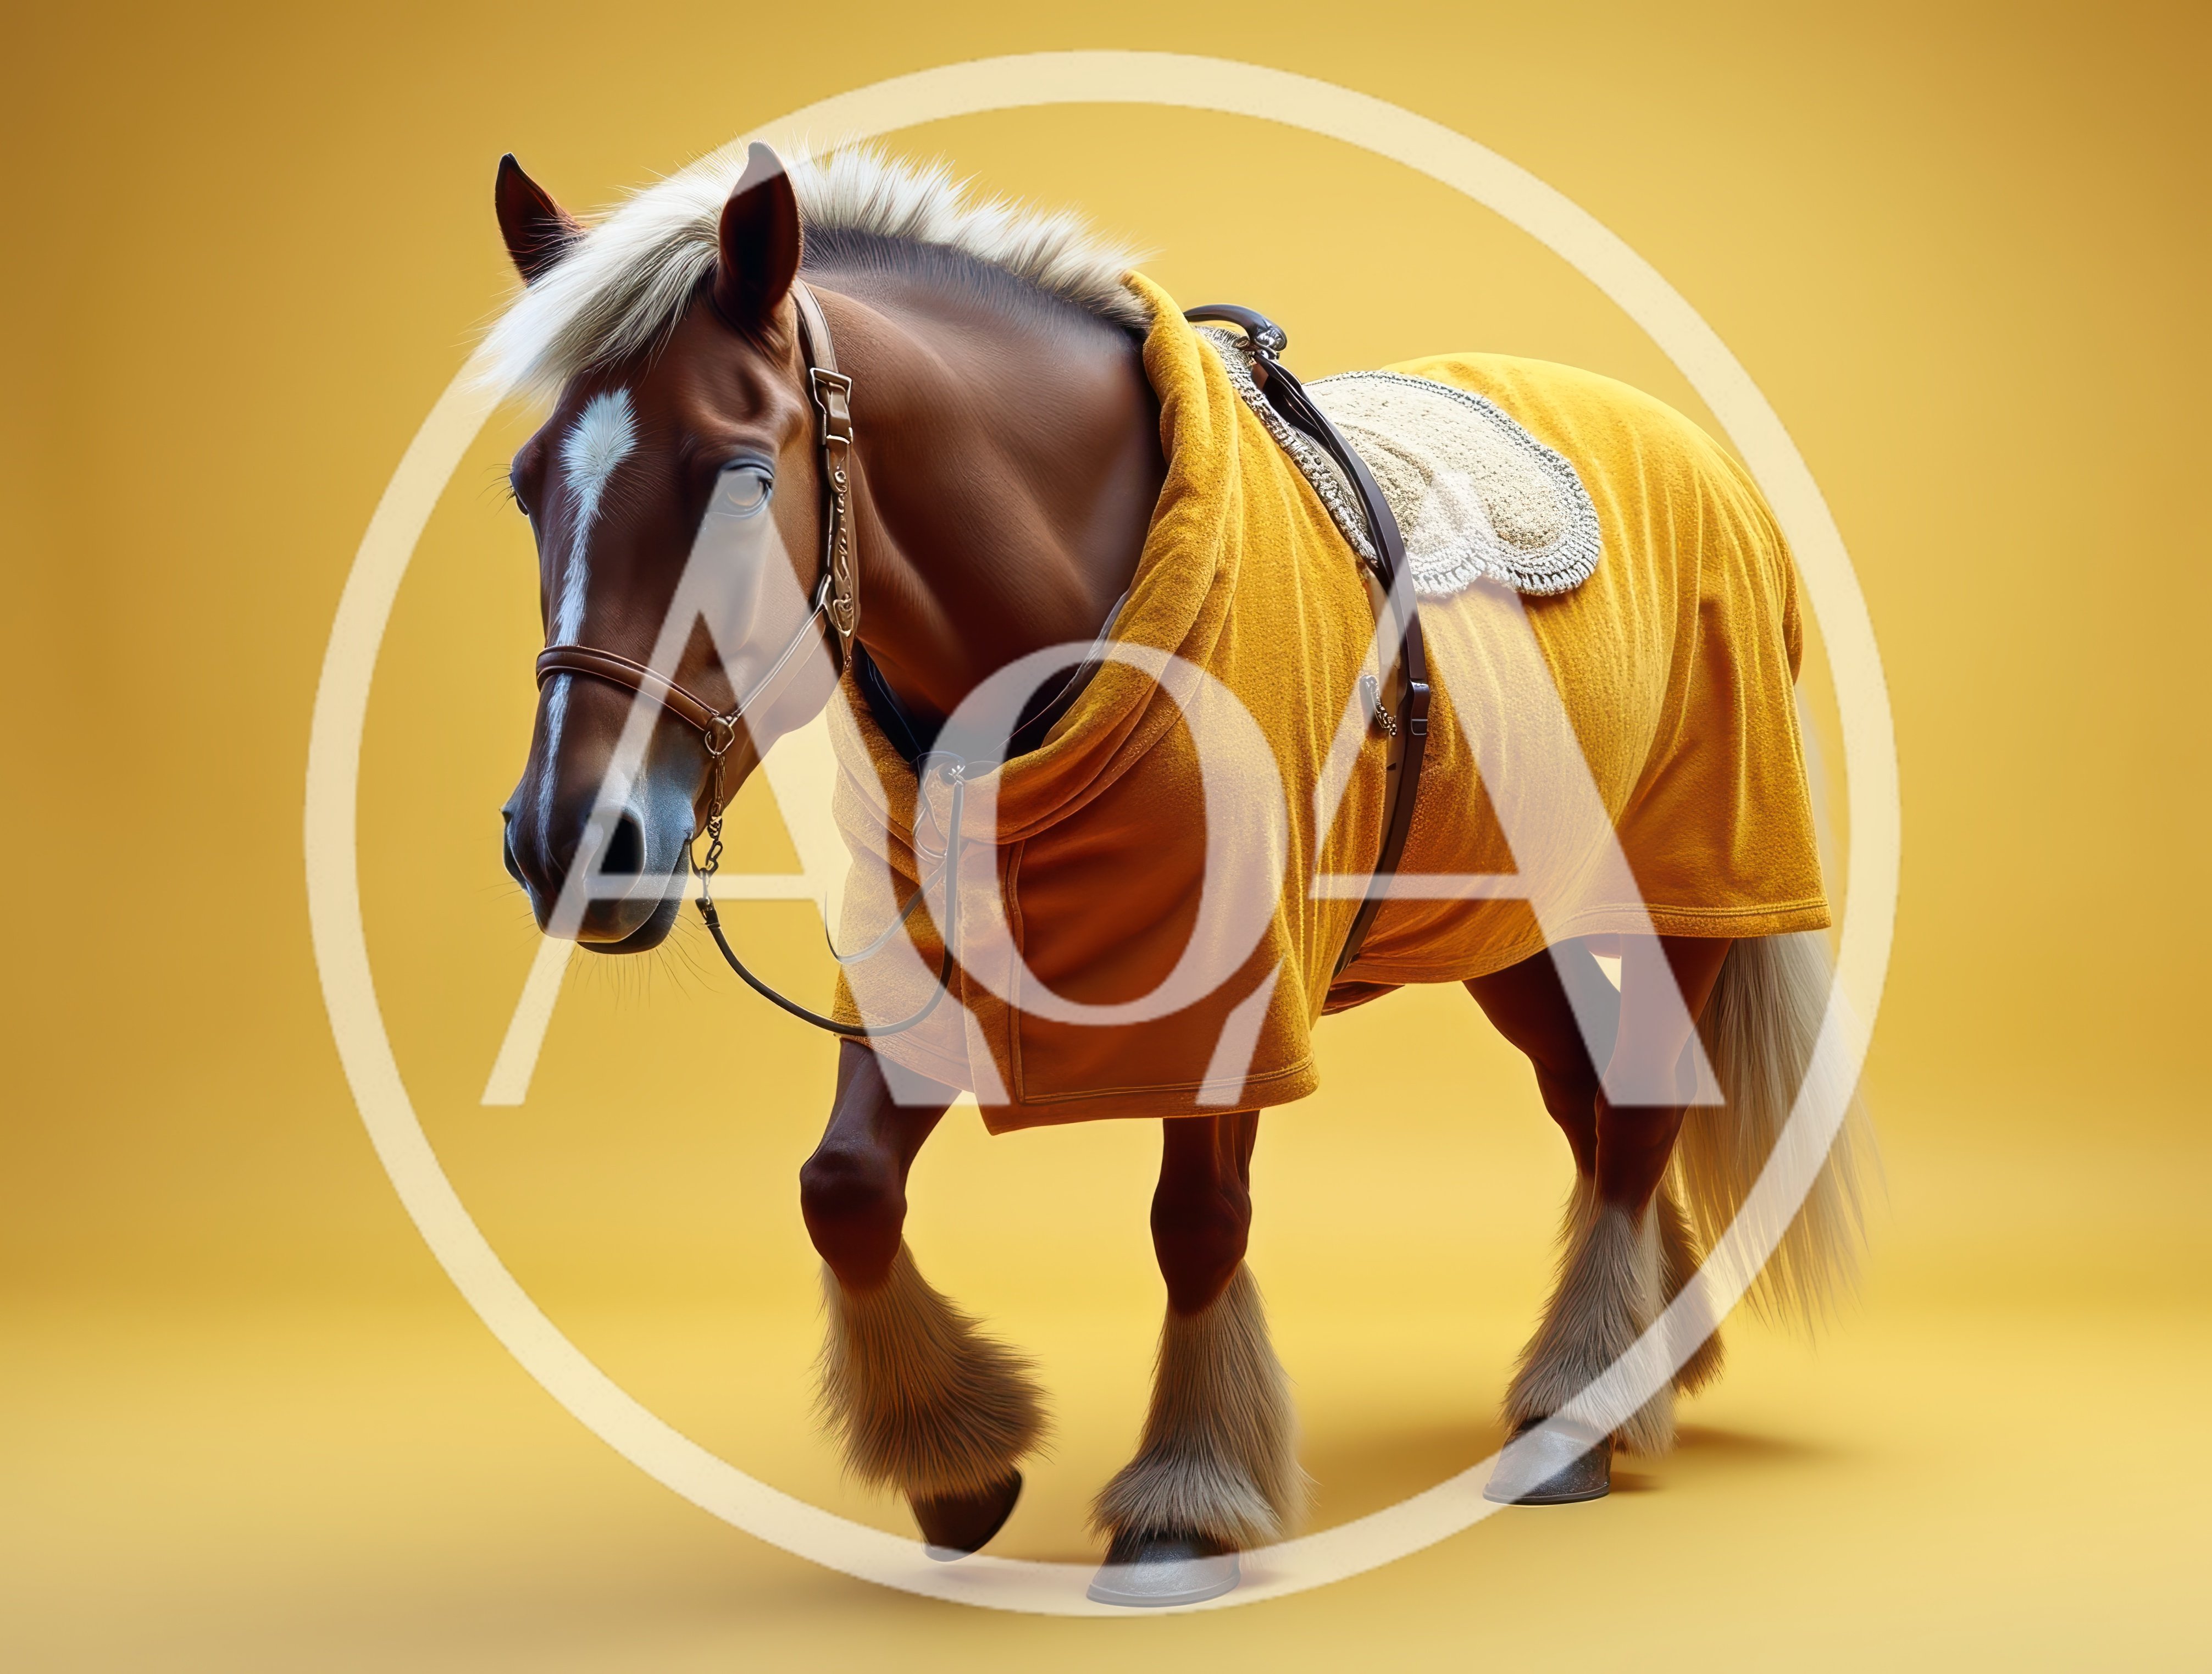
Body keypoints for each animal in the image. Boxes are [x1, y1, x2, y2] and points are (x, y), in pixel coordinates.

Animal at [486, 140, 1872, 1606]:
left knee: (1642, 1114)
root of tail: (1694, 449)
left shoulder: (1233, 996)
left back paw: (1575, 1415)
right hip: (1503, 926)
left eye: (744, 479)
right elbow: (844, 1187)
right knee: (1589, 1101)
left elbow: (1197, 1220)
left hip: (1696, 879)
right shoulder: (925, 968)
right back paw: (1647, 1359)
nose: (570, 840)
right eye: (526, 484)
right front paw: (957, 1460)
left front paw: (1184, 1505)